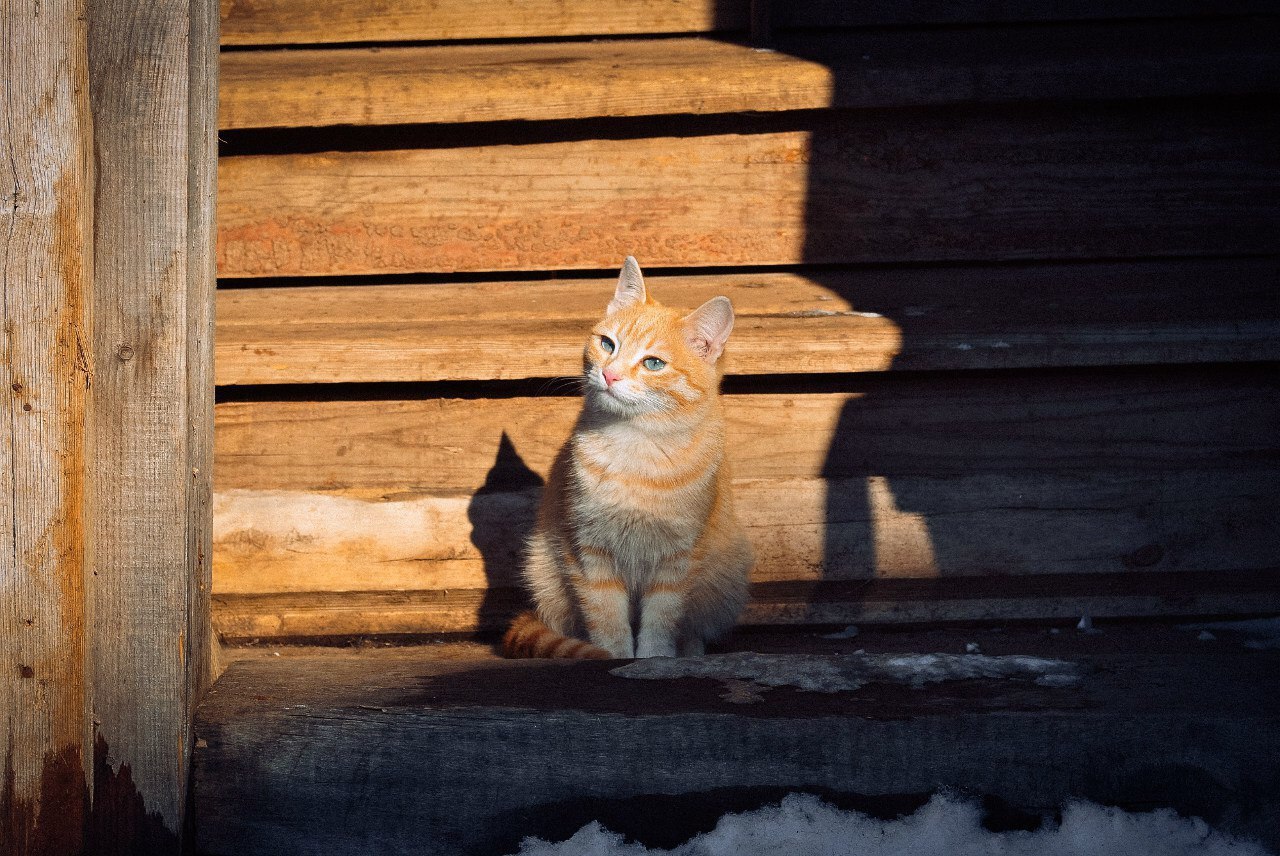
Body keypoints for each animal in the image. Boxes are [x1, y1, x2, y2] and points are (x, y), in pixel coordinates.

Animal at [504, 257, 752, 660]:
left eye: (653, 364)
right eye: (607, 344)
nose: (609, 373)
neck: (636, 446)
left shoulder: (676, 560)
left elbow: (661, 620)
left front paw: (654, 659)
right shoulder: (589, 551)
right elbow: (606, 617)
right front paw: (614, 656)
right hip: (543, 568)